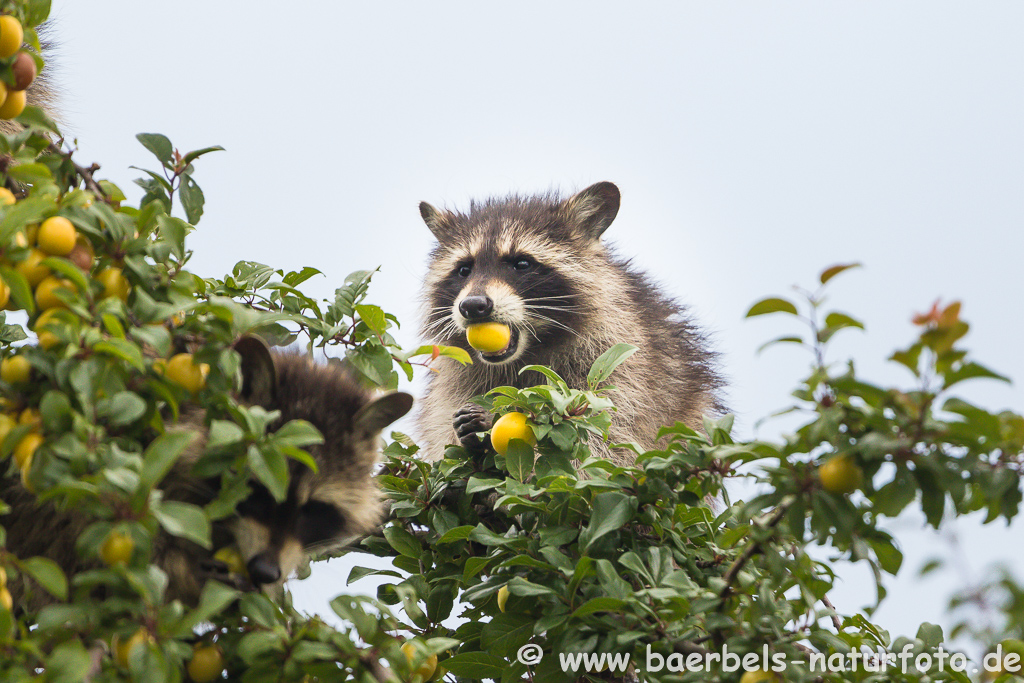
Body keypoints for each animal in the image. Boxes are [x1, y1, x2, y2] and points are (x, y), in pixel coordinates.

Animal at [413, 180, 720, 464]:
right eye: (464, 269)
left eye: (521, 264)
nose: (473, 306)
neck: (524, 356)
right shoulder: (455, 386)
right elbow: (442, 432)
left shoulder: (622, 368)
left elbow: (602, 444)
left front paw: (495, 424)